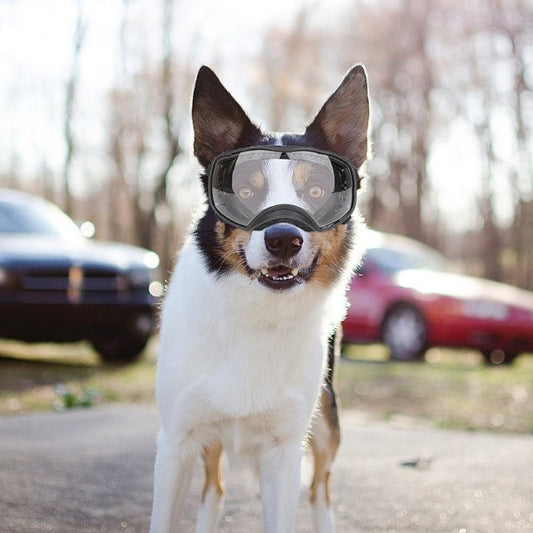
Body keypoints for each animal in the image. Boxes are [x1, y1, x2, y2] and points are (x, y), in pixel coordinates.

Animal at [150, 63, 370, 532]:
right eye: (245, 192)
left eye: (317, 192)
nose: (283, 239)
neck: (256, 312)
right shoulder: (176, 439)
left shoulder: (284, 451)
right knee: (215, 487)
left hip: (327, 421)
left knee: (319, 489)